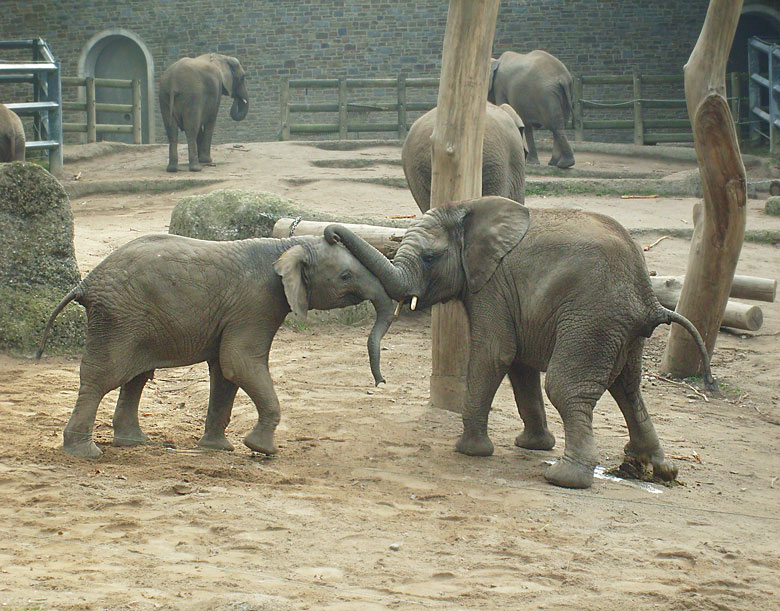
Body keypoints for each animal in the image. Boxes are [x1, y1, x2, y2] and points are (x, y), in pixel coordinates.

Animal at [35, 233, 396, 460]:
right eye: (346, 276)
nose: (380, 382)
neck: (286, 245)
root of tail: (85, 283)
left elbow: (225, 372)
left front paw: (218, 449)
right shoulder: (257, 302)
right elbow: (238, 362)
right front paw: (262, 450)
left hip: (132, 321)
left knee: (135, 377)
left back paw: (133, 443)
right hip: (118, 318)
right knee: (103, 377)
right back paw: (85, 453)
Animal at [324, 198, 720, 490]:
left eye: (430, 257)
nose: (330, 235)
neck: (466, 208)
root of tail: (650, 299)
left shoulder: (493, 286)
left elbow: (494, 355)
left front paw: (469, 451)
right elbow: (519, 366)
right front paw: (532, 445)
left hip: (592, 319)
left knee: (565, 387)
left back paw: (567, 478)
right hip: (621, 330)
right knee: (627, 388)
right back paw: (655, 469)